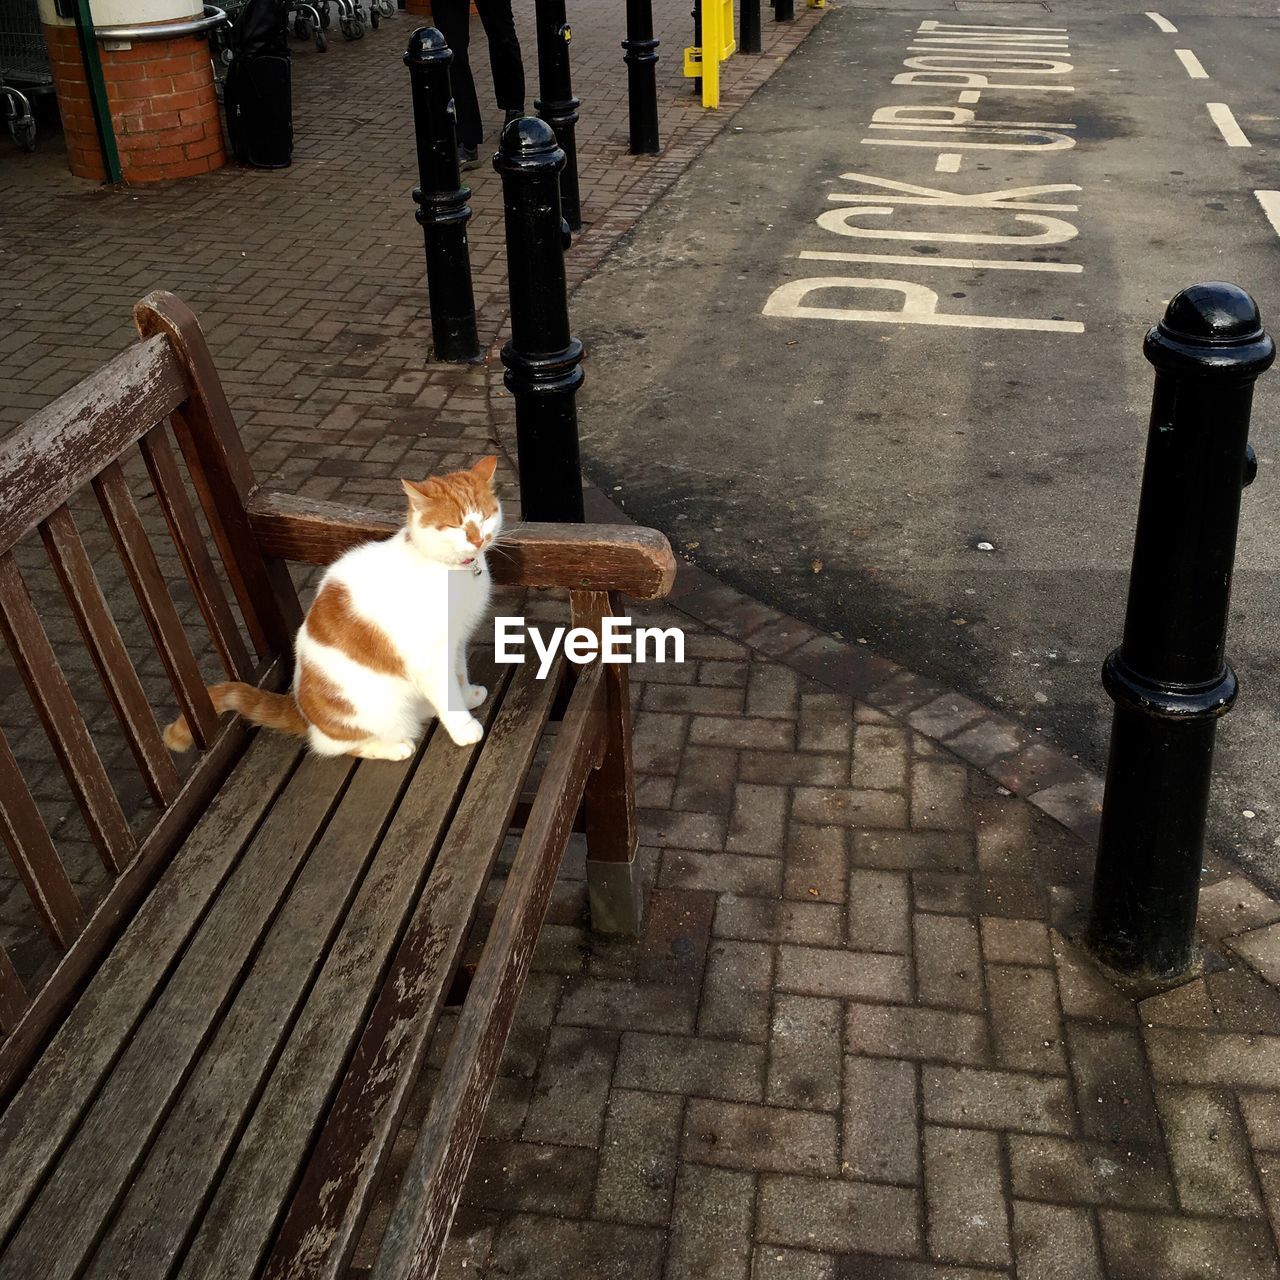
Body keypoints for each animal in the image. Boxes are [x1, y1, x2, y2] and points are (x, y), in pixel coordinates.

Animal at [168, 458, 504, 757]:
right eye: (454, 526)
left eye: (485, 517)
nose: (478, 539)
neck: (452, 570)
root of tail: (303, 712)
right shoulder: (429, 657)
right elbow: (446, 692)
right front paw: (463, 727)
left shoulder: (456, 641)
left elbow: (458, 673)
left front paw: (467, 695)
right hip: (370, 711)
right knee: (335, 745)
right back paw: (394, 747)